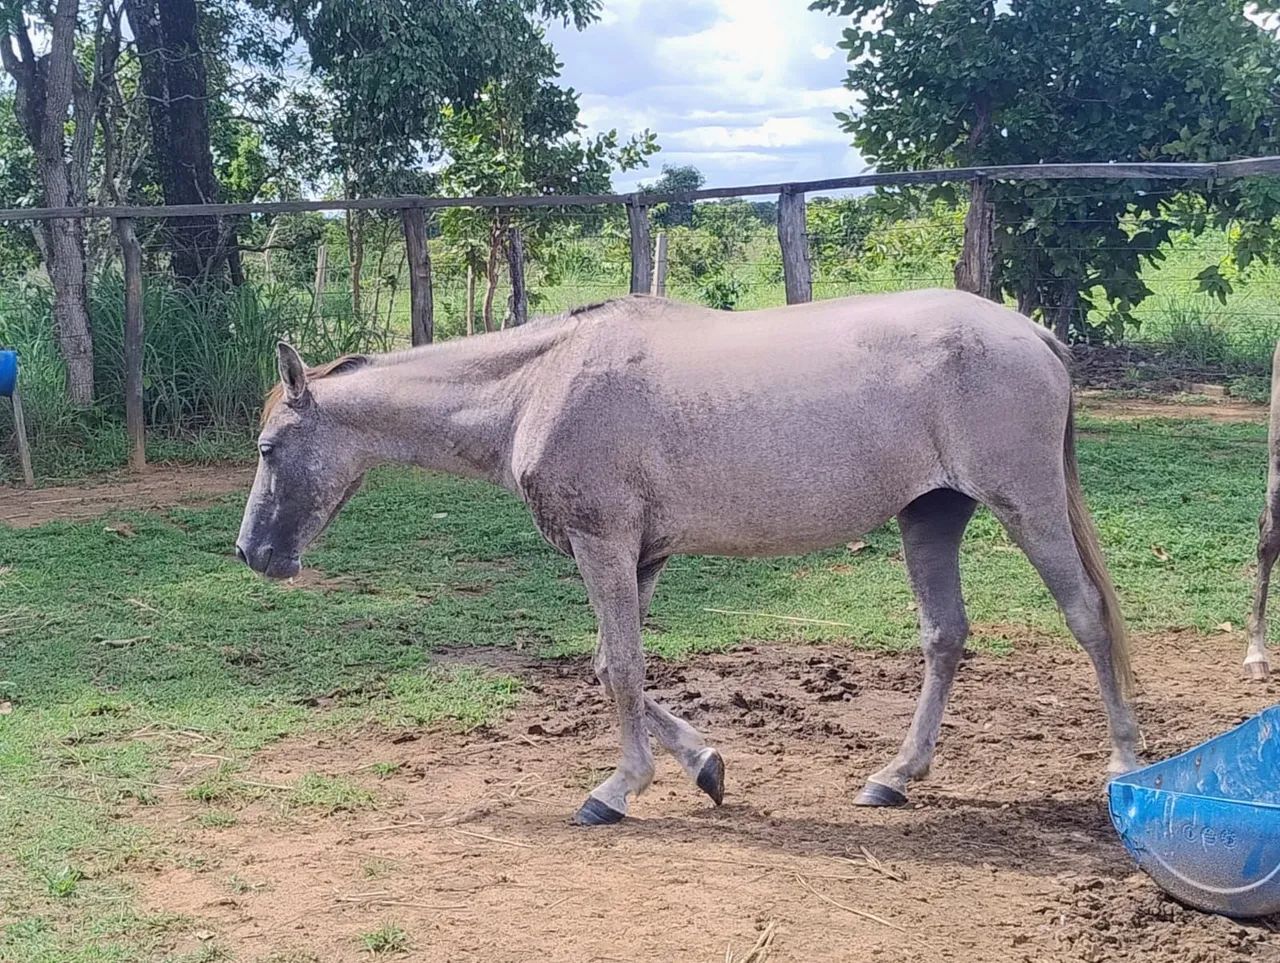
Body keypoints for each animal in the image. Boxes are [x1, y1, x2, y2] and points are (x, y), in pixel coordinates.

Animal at [235, 290, 1140, 825]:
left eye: (271, 448)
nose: (252, 553)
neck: (537, 386)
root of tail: (1034, 333)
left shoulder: (604, 545)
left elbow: (621, 670)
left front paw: (615, 789)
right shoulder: (641, 556)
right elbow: (612, 664)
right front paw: (705, 764)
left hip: (1025, 507)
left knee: (1088, 617)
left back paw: (1125, 763)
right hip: (932, 516)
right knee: (945, 636)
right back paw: (894, 774)